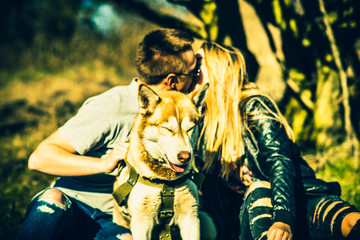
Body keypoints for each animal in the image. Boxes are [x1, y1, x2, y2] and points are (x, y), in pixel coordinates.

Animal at [114, 84, 207, 240]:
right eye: (167, 129)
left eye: (190, 128)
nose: (185, 156)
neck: (166, 183)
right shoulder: (141, 221)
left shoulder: (191, 217)